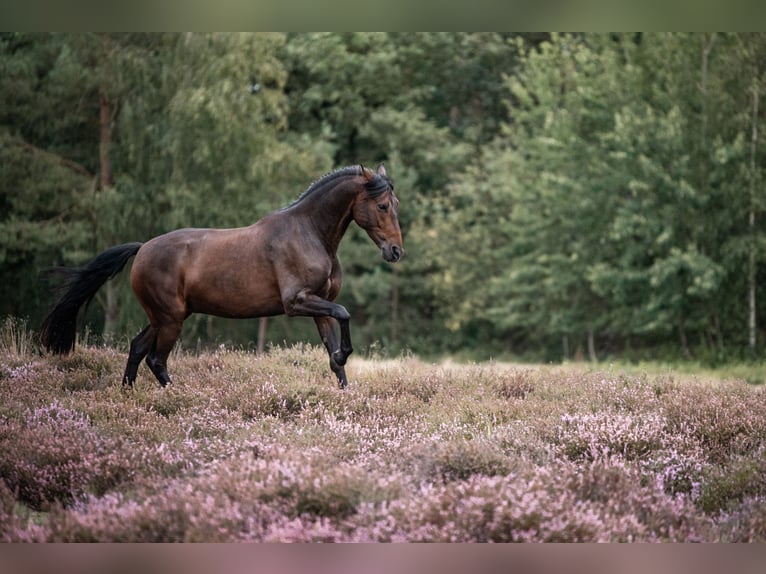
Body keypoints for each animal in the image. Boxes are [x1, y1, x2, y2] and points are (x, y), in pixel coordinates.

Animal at [41, 166, 404, 392]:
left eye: (394, 204)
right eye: (382, 206)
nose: (396, 251)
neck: (309, 233)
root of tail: (142, 248)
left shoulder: (320, 304)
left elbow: (333, 357)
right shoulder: (297, 302)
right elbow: (344, 315)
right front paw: (345, 355)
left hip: (166, 316)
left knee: (137, 349)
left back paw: (128, 396)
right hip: (170, 319)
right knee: (156, 359)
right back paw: (181, 397)